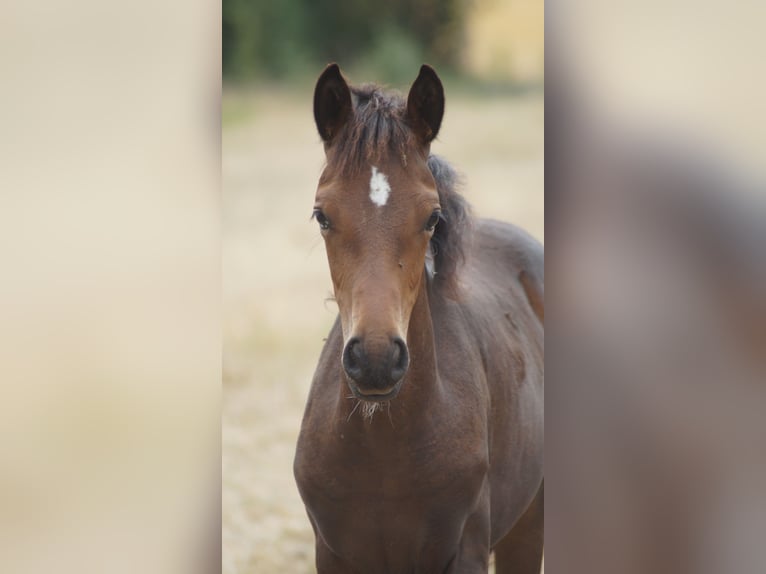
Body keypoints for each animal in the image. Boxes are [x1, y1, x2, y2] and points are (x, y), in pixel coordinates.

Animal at [294, 63, 544, 574]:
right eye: (321, 215)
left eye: (432, 217)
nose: (375, 361)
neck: (384, 450)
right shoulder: (331, 553)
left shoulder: (466, 549)